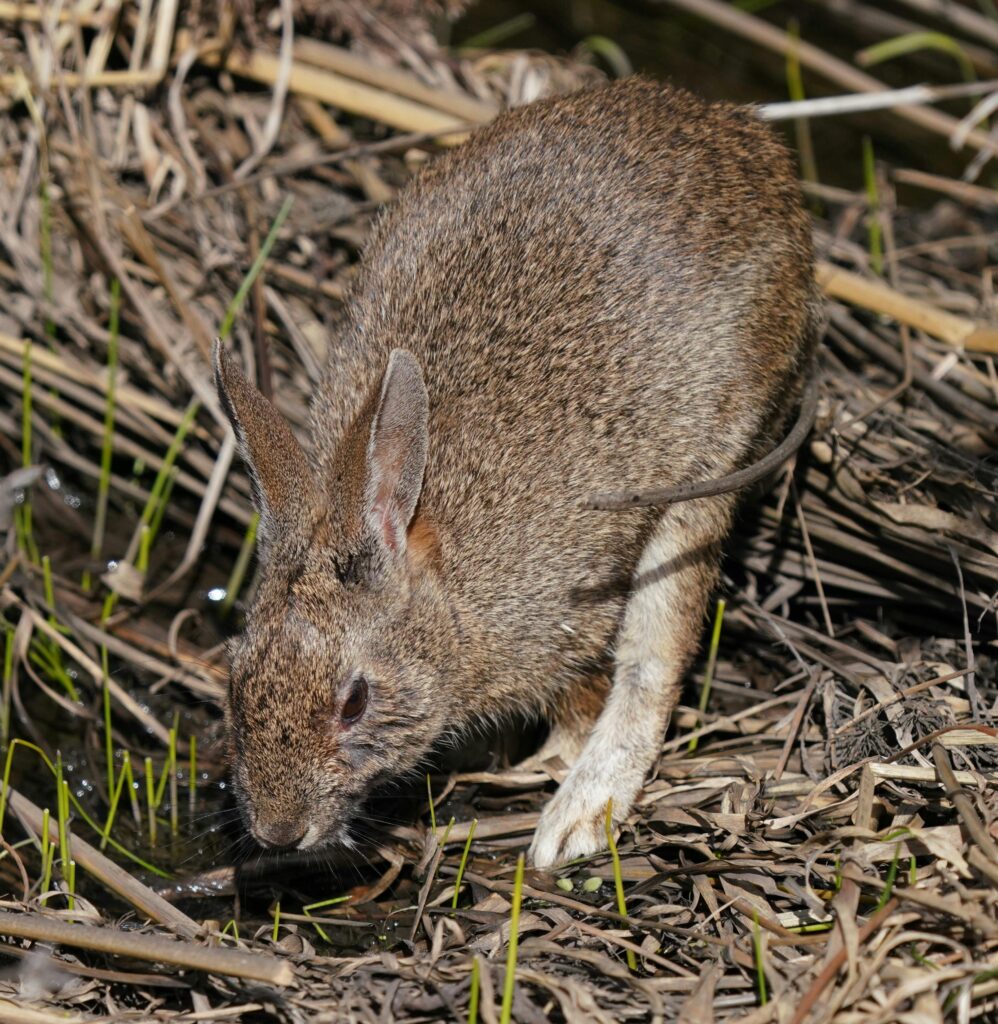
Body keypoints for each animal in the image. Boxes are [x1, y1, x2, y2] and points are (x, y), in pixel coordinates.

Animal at [214, 76, 820, 867]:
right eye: (234, 684)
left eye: (356, 701)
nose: (279, 833)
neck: (445, 598)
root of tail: (756, 153)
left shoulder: (570, 620)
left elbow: (590, 690)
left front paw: (544, 767)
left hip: (710, 466)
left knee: (657, 656)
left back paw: (577, 818)